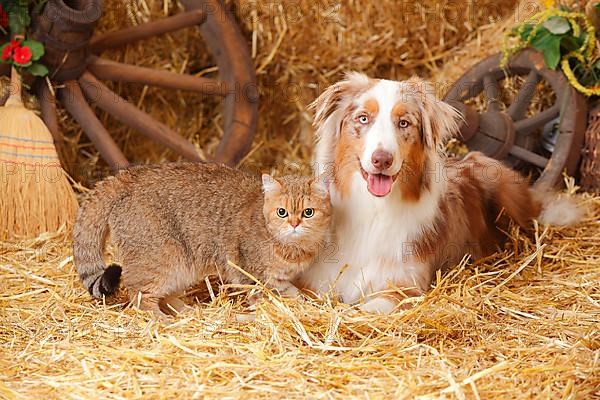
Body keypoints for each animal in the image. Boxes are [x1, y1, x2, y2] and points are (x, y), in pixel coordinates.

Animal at [74, 162, 332, 316]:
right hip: (161, 259)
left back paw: (187, 313)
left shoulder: (278, 279)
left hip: (181, 267)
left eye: (308, 212)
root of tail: (128, 176)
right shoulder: (252, 275)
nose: (295, 224)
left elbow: (294, 293)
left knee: (166, 296)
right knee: (139, 296)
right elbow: (269, 296)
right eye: (282, 212)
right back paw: (162, 321)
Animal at [298, 73, 584, 314]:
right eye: (363, 118)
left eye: (404, 123)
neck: (373, 209)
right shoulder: (316, 280)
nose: (382, 159)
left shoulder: (404, 287)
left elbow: (363, 309)